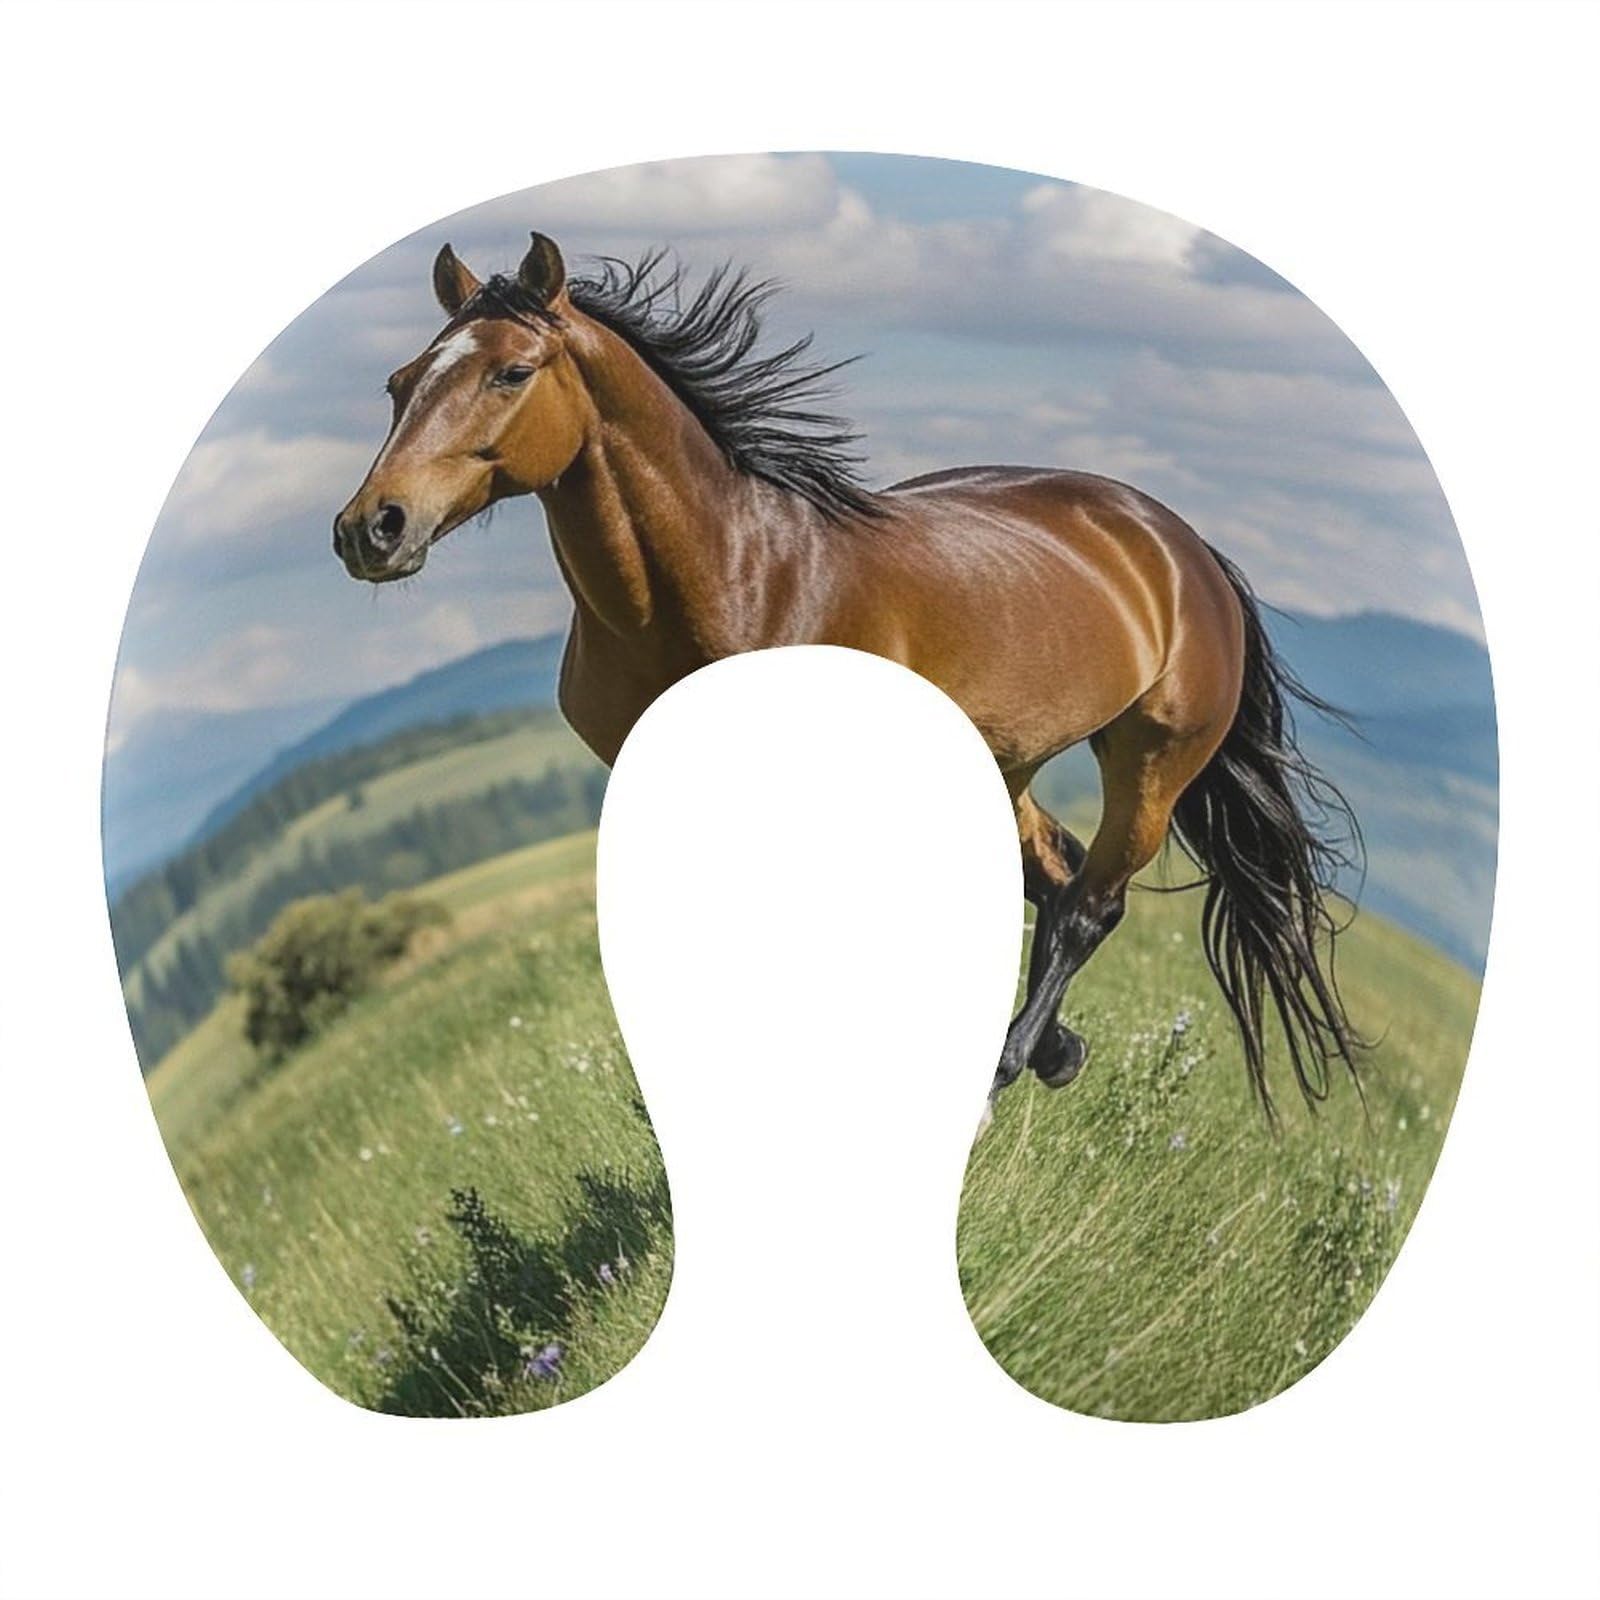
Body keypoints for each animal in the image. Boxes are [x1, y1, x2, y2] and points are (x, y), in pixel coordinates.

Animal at [334, 230, 1363, 1121]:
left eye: (511, 372)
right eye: (399, 384)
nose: (370, 528)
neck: (733, 578)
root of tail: (1180, 545)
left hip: (1155, 757)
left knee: (1089, 906)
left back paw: (1000, 1073)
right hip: (1008, 762)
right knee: (1056, 875)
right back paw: (1052, 1051)